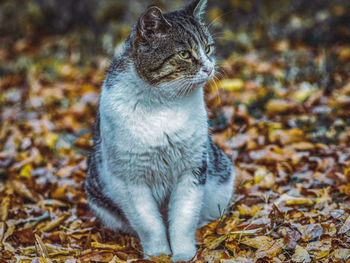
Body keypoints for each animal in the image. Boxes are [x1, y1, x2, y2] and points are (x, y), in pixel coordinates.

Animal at [85, 0, 235, 262]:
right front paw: (158, 254)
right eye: (184, 54)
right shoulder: (129, 178)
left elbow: (183, 219)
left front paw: (183, 253)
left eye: (208, 48)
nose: (209, 68)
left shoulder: (193, 169)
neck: (164, 107)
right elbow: (149, 223)